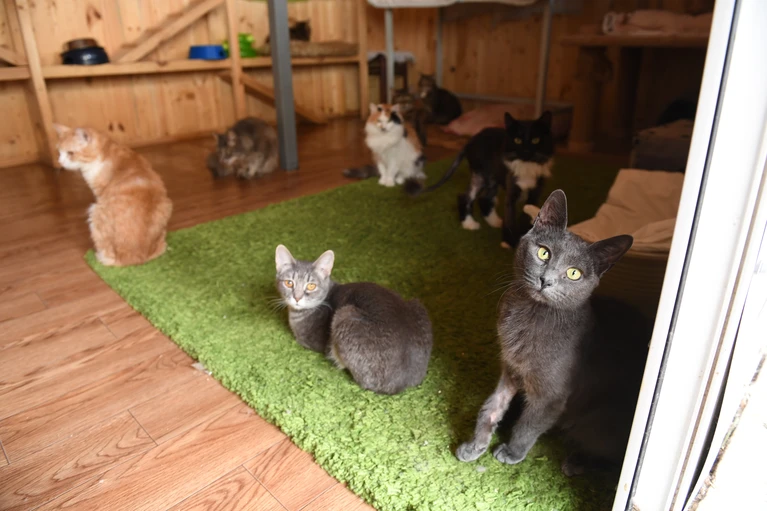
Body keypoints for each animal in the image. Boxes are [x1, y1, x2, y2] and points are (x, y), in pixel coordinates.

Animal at [53, 124, 173, 267]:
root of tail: (131, 259)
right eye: (59, 152)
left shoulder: (99, 195)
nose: (60, 162)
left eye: (70, 153)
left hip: (94, 212)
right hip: (167, 208)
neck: (105, 153)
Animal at [274, 245, 433, 395]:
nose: (297, 298)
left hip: (344, 314)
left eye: (311, 286)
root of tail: (404, 383)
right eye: (289, 283)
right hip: (417, 305)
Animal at [406, 111, 555, 249]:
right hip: (481, 175)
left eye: (536, 140)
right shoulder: (511, 192)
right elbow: (510, 219)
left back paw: (495, 222)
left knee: (485, 198)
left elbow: (527, 215)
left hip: (492, 179)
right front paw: (509, 243)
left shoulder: (535, 193)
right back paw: (469, 224)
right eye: (517, 140)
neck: (526, 165)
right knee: (465, 197)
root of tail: (471, 140)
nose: (526, 151)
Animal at [455, 190, 650, 476]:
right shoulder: (510, 370)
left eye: (574, 273)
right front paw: (475, 444)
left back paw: (576, 463)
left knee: (612, 457)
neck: (529, 316)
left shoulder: (551, 396)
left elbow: (529, 425)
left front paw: (512, 452)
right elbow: (492, 405)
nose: (545, 280)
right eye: (543, 253)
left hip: (597, 426)